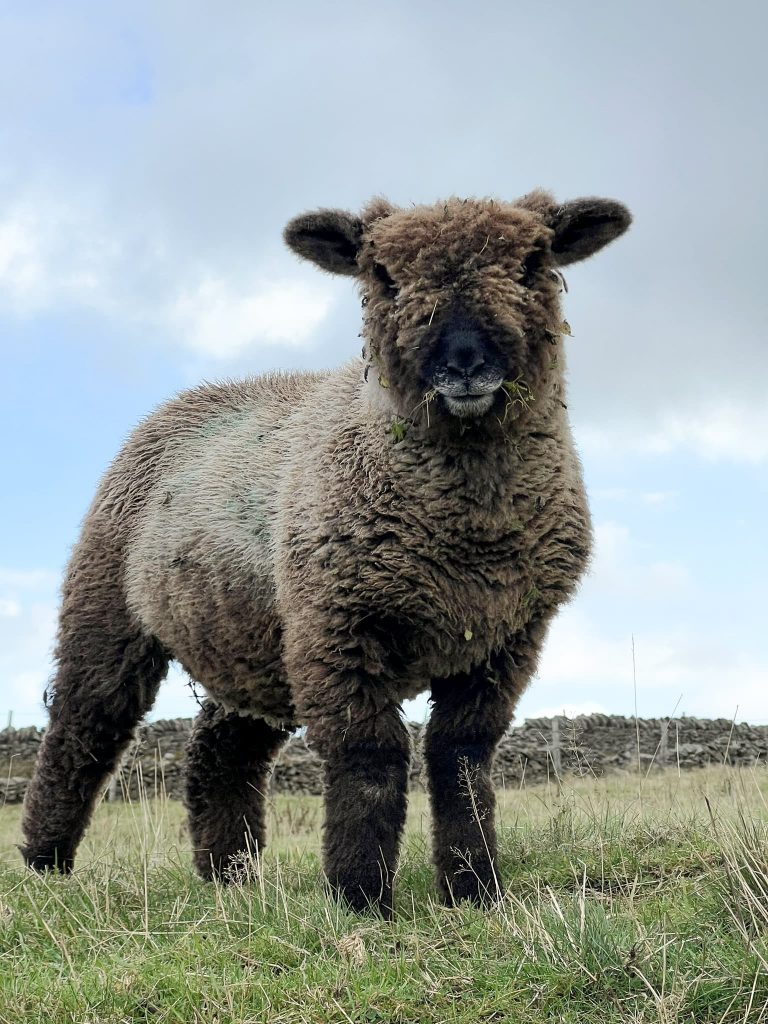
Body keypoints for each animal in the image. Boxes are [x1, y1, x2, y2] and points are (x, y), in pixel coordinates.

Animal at [22, 188, 630, 917]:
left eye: (534, 261)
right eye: (382, 276)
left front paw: (474, 890)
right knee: (83, 728)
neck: (466, 538)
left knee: (220, 749)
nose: (463, 363)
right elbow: (368, 758)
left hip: (255, 638)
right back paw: (46, 865)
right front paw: (361, 897)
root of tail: (178, 402)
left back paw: (228, 877)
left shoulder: (505, 640)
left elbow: (461, 756)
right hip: (110, 604)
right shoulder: (337, 628)